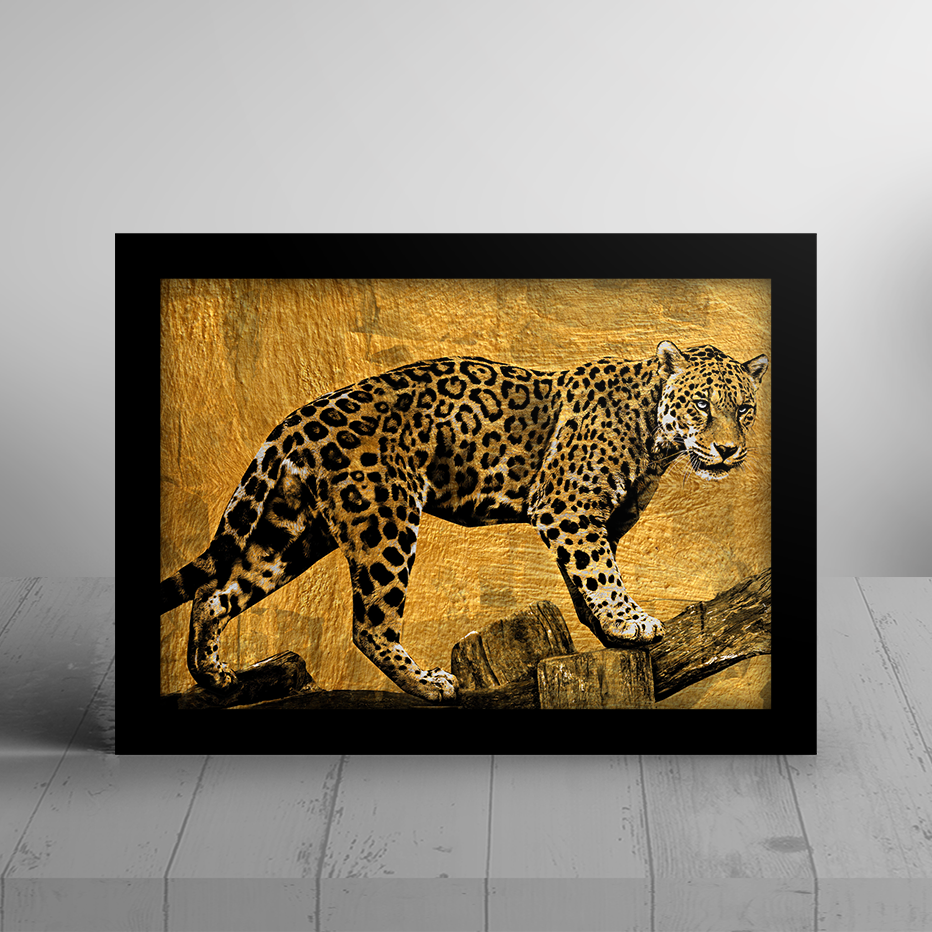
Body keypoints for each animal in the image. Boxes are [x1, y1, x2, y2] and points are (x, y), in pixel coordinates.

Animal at [160, 340, 769, 704]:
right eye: (700, 407)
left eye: (743, 410)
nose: (728, 450)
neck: (654, 436)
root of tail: (301, 415)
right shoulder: (567, 507)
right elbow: (599, 574)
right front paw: (628, 623)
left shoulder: (598, 521)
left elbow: (587, 579)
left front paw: (605, 632)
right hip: (385, 520)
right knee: (368, 625)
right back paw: (429, 683)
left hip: (288, 531)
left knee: (215, 593)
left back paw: (212, 674)